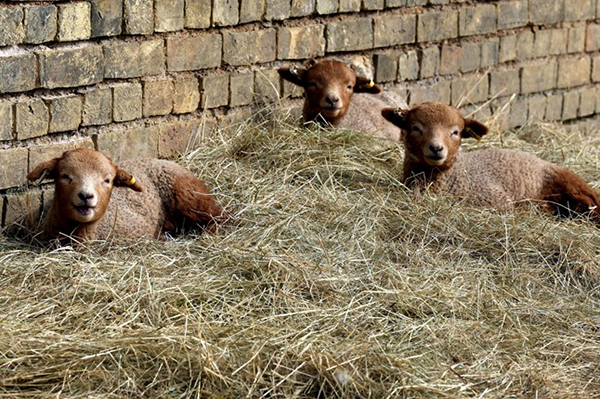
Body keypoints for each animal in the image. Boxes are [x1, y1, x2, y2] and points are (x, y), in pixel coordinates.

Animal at [382, 103, 596, 225]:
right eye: (415, 128)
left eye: (456, 132)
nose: (436, 148)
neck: (454, 178)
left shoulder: (497, 200)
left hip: (571, 185)